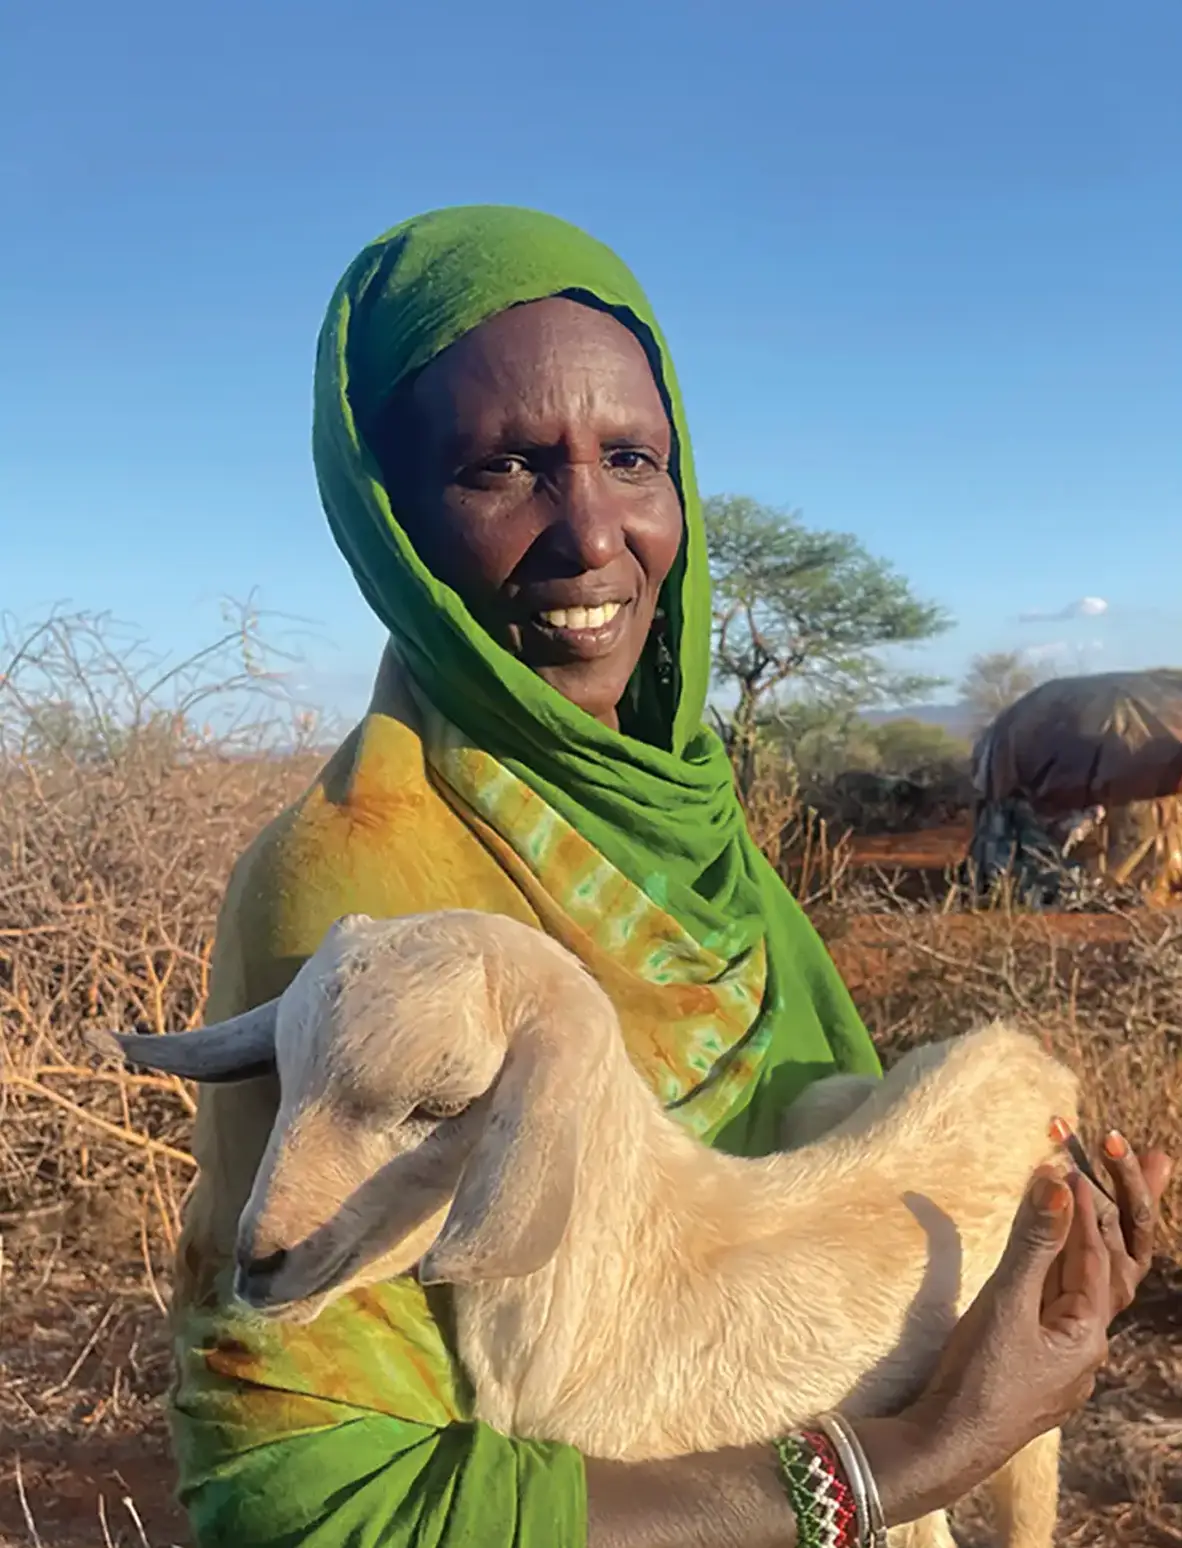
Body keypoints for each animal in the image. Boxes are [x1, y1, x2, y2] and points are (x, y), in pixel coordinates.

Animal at [96, 909, 1078, 1548]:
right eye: (282, 1071)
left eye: (440, 1106)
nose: (261, 1262)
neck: (630, 1284)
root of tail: (1024, 1054)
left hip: (1034, 1445)